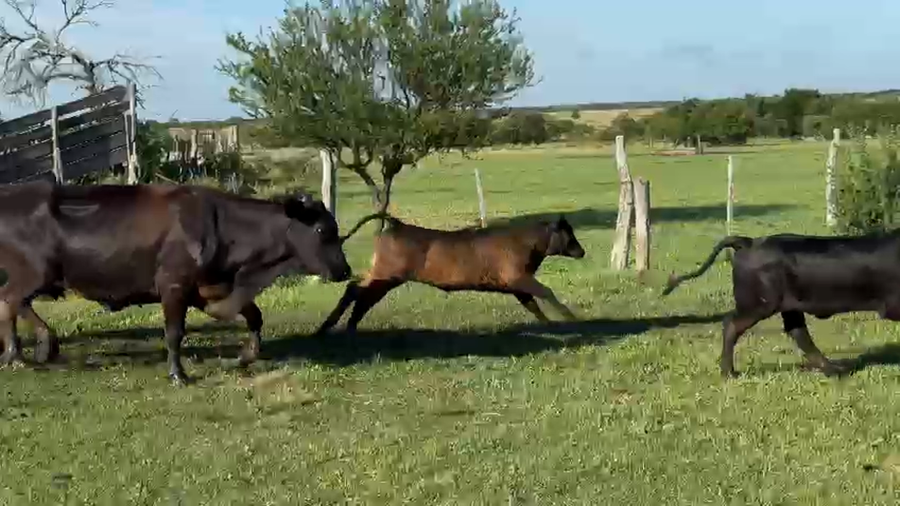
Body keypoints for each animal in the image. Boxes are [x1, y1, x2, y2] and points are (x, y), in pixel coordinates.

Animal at [0, 181, 353, 385]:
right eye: (322, 230)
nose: (345, 270)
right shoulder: (173, 286)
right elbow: (174, 333)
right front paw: (178, 374)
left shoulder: (212, 290)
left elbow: (255, 316)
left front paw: (247, 355)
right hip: (35, 272)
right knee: (11, 300)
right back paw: (27, 351)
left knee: (14, 302)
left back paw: (30, 350)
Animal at [314, 213, 586, 335]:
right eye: (568, 233)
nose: (582, 251)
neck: (526, 242)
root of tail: (397, 224)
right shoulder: (519, 277)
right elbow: (546, 292)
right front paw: (573, 319)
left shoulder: (516, 286)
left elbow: (533, 305)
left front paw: (551, 324)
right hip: (387, 276)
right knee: (362, 295)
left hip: (381, 275)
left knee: (355, 291)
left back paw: (336, 328)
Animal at [660, 232, 900, 378]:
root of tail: (749, 241)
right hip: (758, 304)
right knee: (731, 324)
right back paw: (729, 373)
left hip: (789, 306)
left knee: (798, 332)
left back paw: (834, 369)